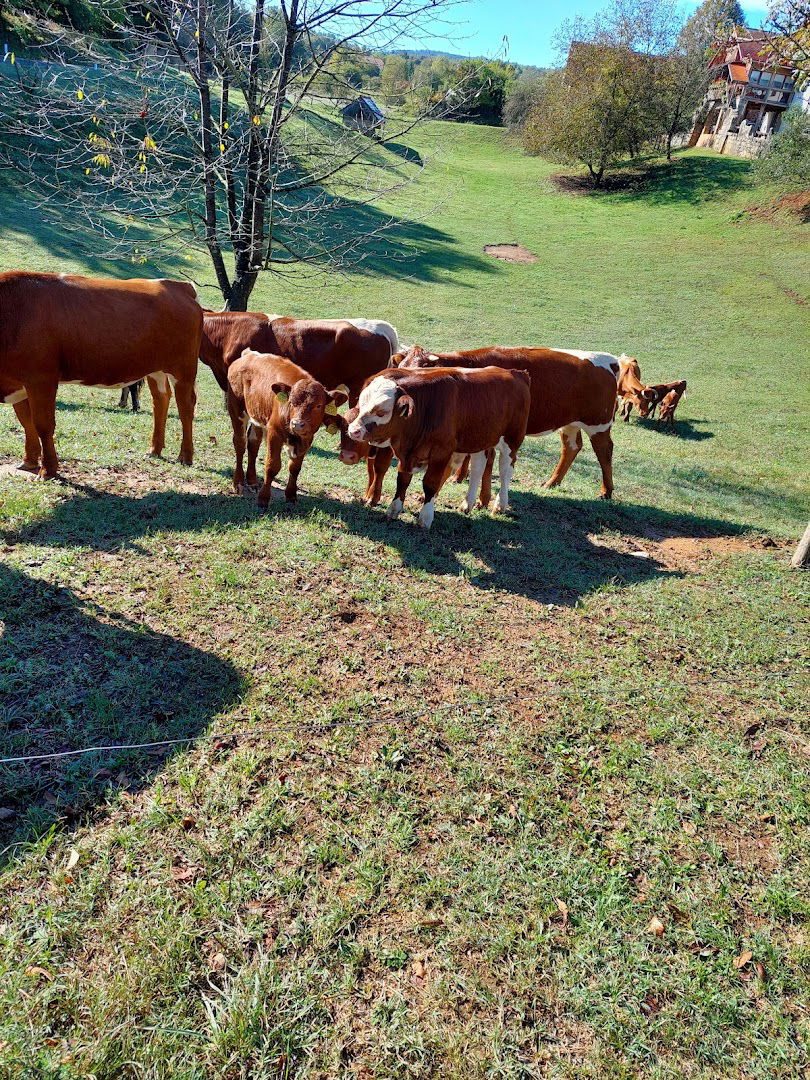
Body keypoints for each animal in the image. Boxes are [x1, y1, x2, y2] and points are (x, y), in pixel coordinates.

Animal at [0, 270, 203, 477]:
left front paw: (48, 470)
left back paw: (185, 456)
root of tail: (178, 285)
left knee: (186, 407)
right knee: (161, 400)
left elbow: (43, 424)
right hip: (156, 369)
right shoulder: (18, 383)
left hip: (183, 369)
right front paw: (29, 461)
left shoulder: (41, 379)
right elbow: (26, 421)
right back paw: (154, 449)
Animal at [225, 349, 349, 509]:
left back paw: (252, 481)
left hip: (257, 417)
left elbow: (295, 467)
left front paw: (291, 495)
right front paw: (263, 498)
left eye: (318, 405)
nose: (297, 424)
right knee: (240, 443)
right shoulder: (274, 432)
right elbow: (272, 465)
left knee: (253, 443)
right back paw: (238, 482)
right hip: (236, 410)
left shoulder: (307, 438)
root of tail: (248, 354)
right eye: (291, 402)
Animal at [343, 365, 529, 529]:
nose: (354, 431)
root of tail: (516, 372)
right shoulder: (407, 455)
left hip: (512, 439)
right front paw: (394, 509)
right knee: (478, 467)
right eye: (361, 405)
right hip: (480, 439)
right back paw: (467, 504)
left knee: (505, 470)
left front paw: (425, 517)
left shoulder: (441, 452)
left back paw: (500, 504)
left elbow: (430, 483)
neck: (426, 408)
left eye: (381, 412)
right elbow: (402, 480)